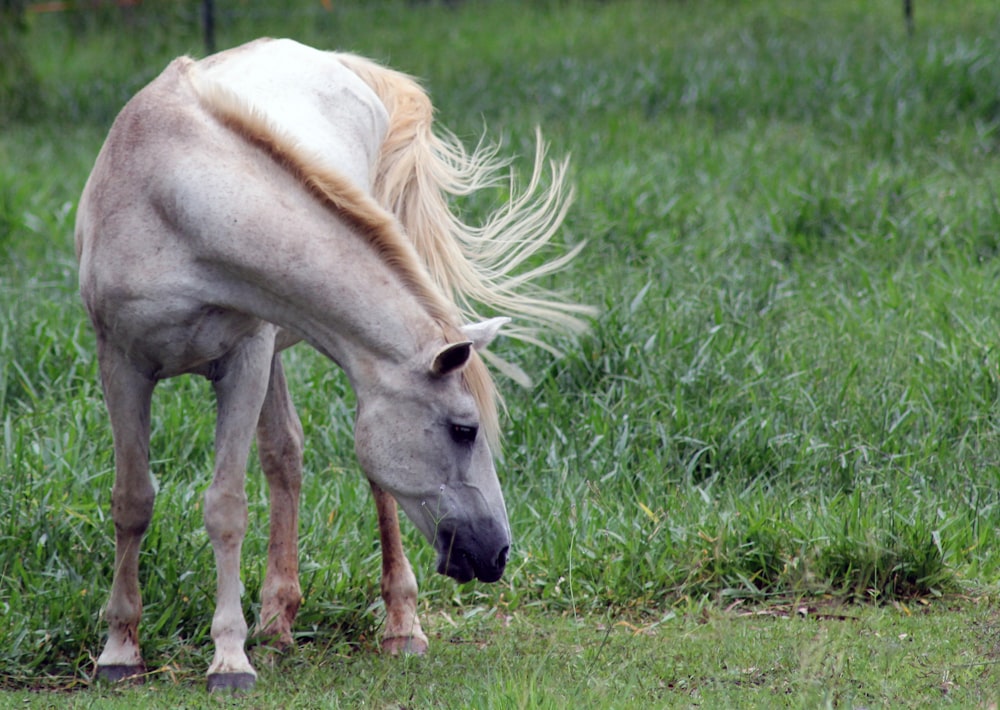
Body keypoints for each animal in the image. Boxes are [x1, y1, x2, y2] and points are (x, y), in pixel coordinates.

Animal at [78, 37, 588, 688]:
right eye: (464, 429)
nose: (497, 552)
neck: (171, 203)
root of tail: (337, 60)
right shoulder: (121, 364)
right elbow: (133, 502)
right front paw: (121, 649)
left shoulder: (245, 359)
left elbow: (225, 508)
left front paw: (229, 659)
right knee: (284, 456)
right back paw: (276, 624)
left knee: (372, 480)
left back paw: (400, 625)